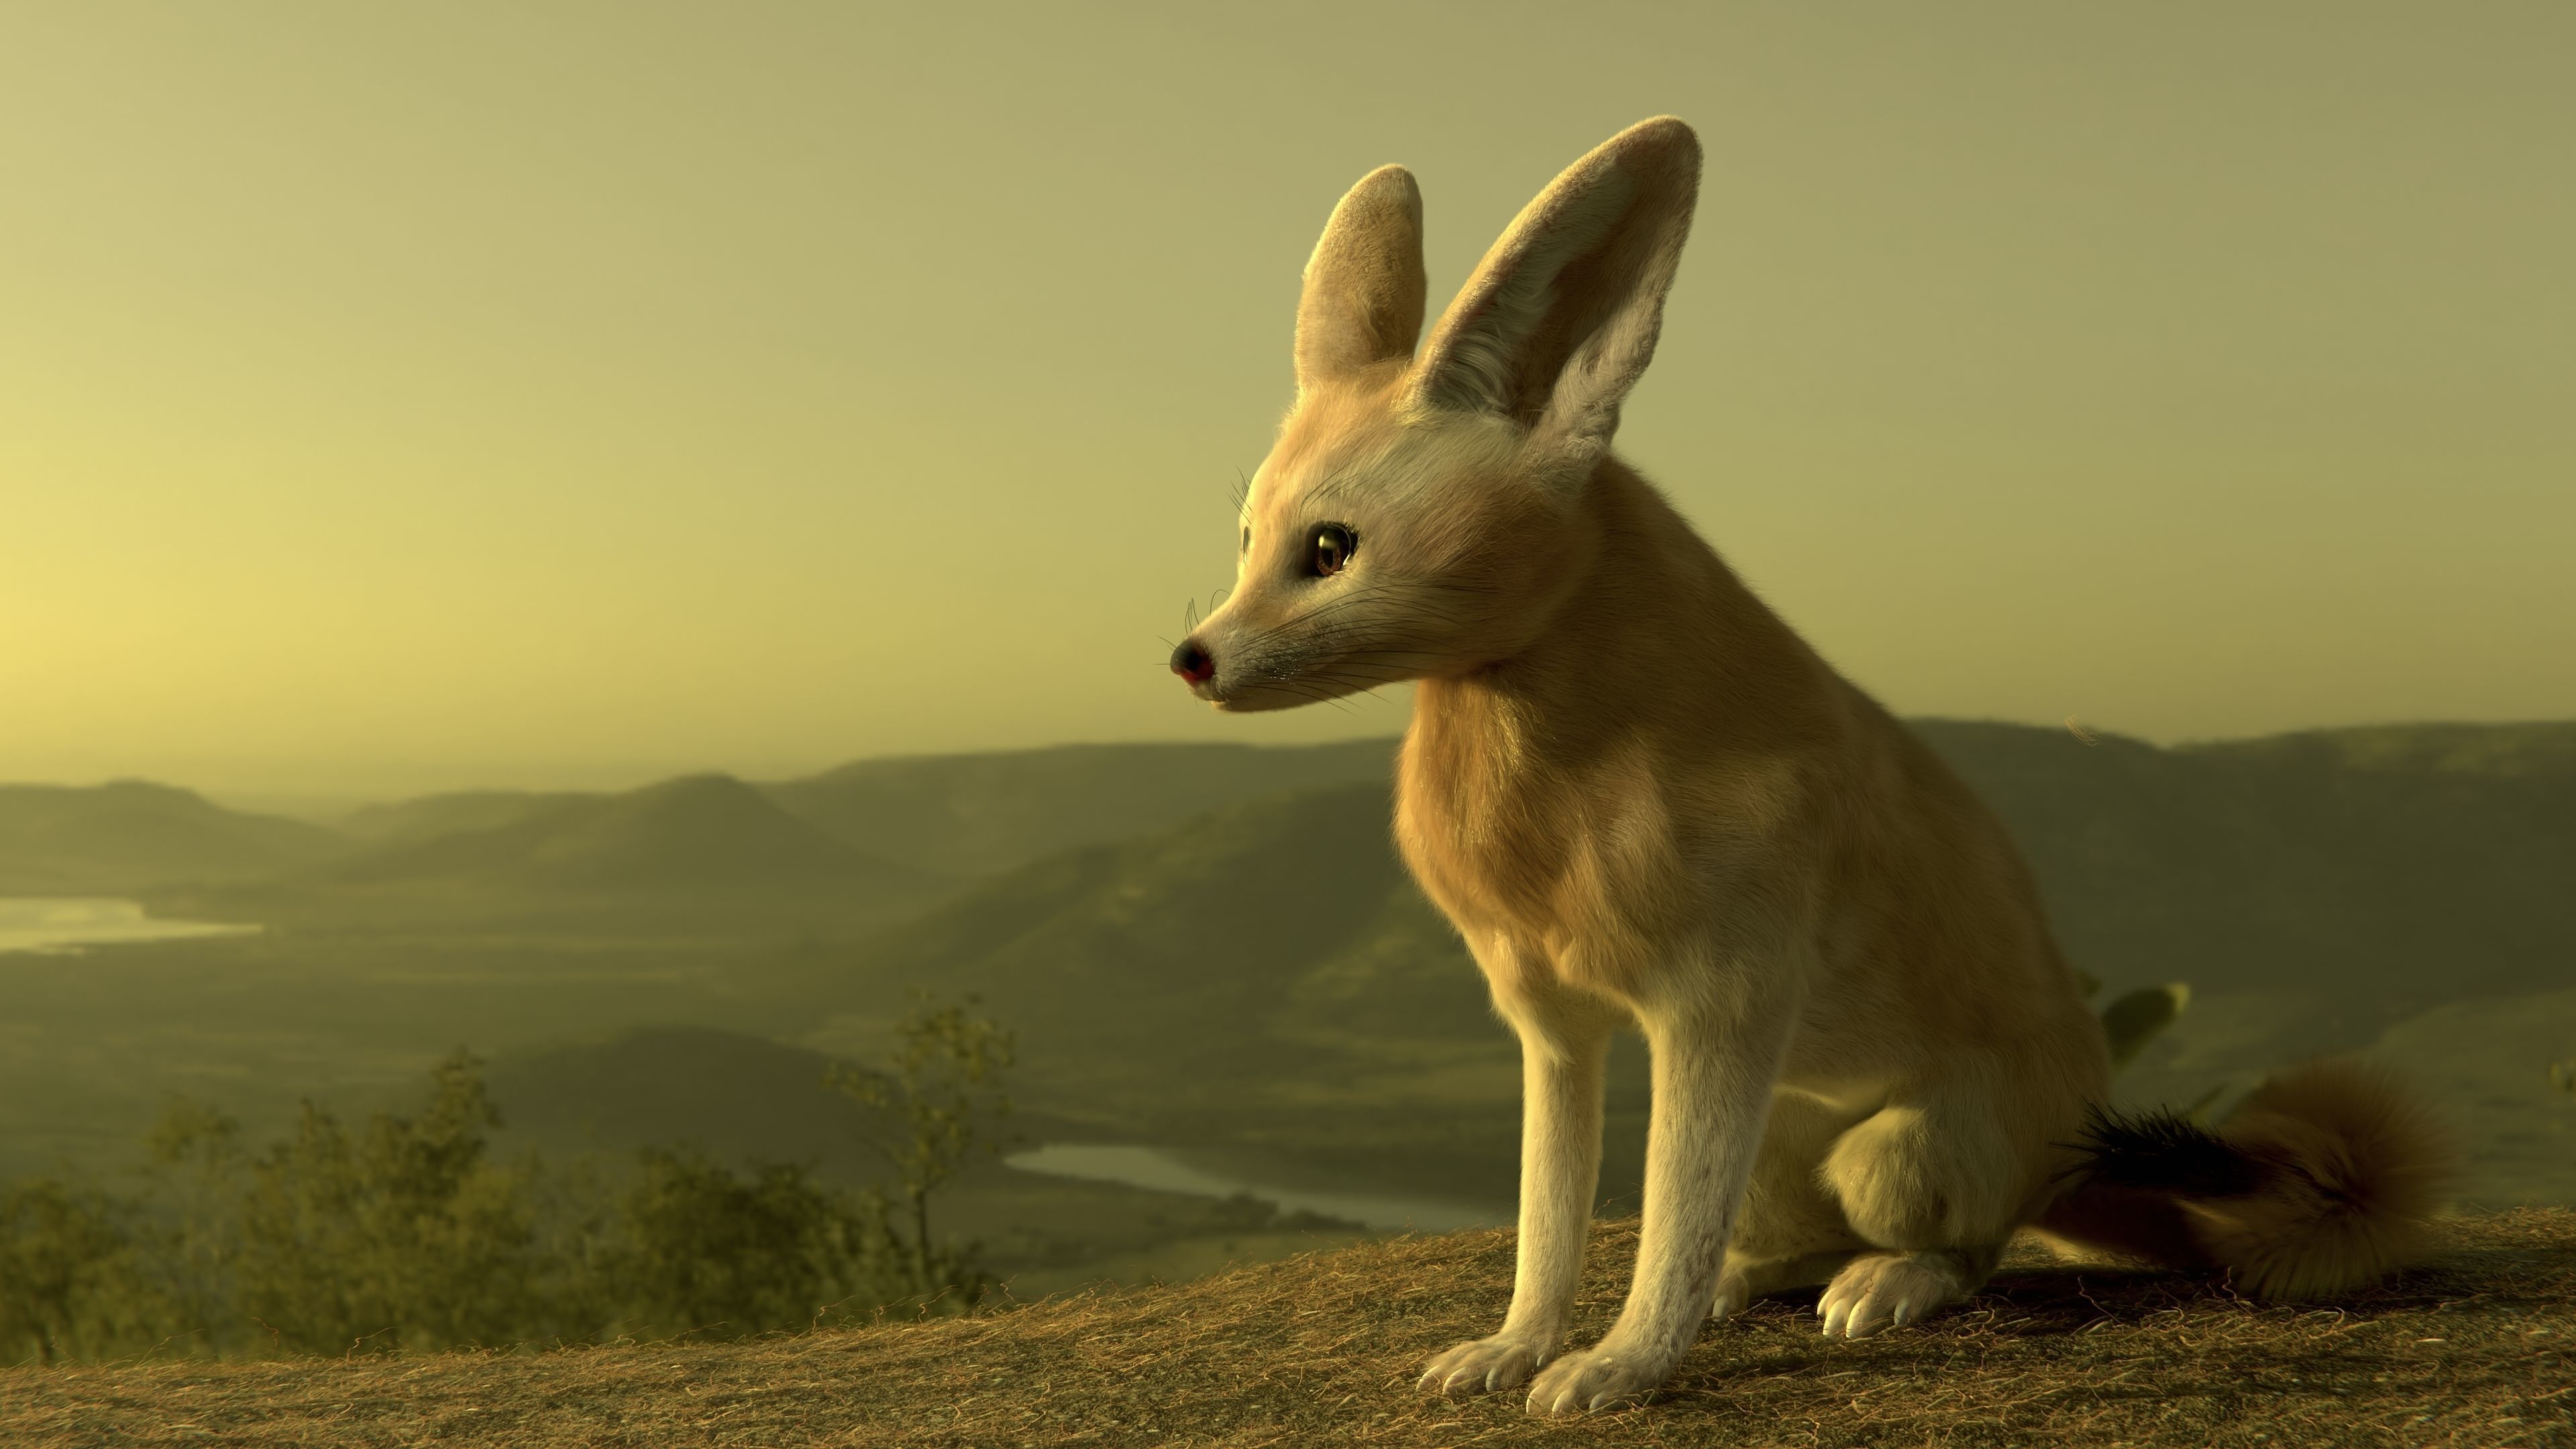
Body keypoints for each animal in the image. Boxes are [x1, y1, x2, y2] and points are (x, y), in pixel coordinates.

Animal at [1168, 117, 2452, 1415]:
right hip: (1791, 1142)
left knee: (1975, 1244)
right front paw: (1517, 1346)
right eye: (1245, 540)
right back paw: (1757, 1281)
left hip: (1893, 1150)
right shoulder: (1553, 1025)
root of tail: (2074, 1139)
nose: (1192, 657)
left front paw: (1620, 1367)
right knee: (1785, 1241)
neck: (1565, 797)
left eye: (1331, 549)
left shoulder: (1717, 1010)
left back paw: (1890, 1285)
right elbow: (1549, 1219)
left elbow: (1665, 1225)